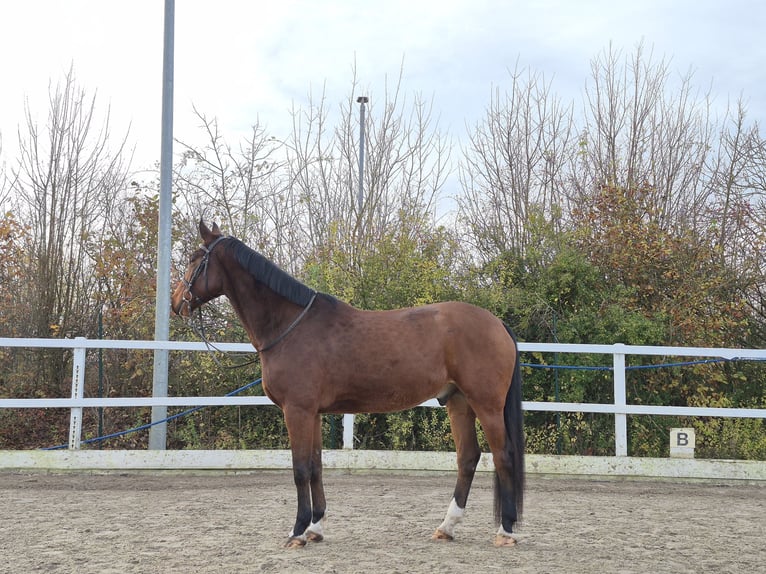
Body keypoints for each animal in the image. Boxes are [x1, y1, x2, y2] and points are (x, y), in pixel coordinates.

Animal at [171, 220, 525, 548]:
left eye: (193, 259)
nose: (176, 303)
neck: (290, 326)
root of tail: (497, 323)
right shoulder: (312, 414)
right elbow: (315, 466)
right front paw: (315, 528)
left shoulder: (297, 411)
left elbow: (300, 469)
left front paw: (297, 531)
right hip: (458, 402)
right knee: (468, 458)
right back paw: (447, 527)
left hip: (486, 404)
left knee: (503, 456)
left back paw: (506, 530)